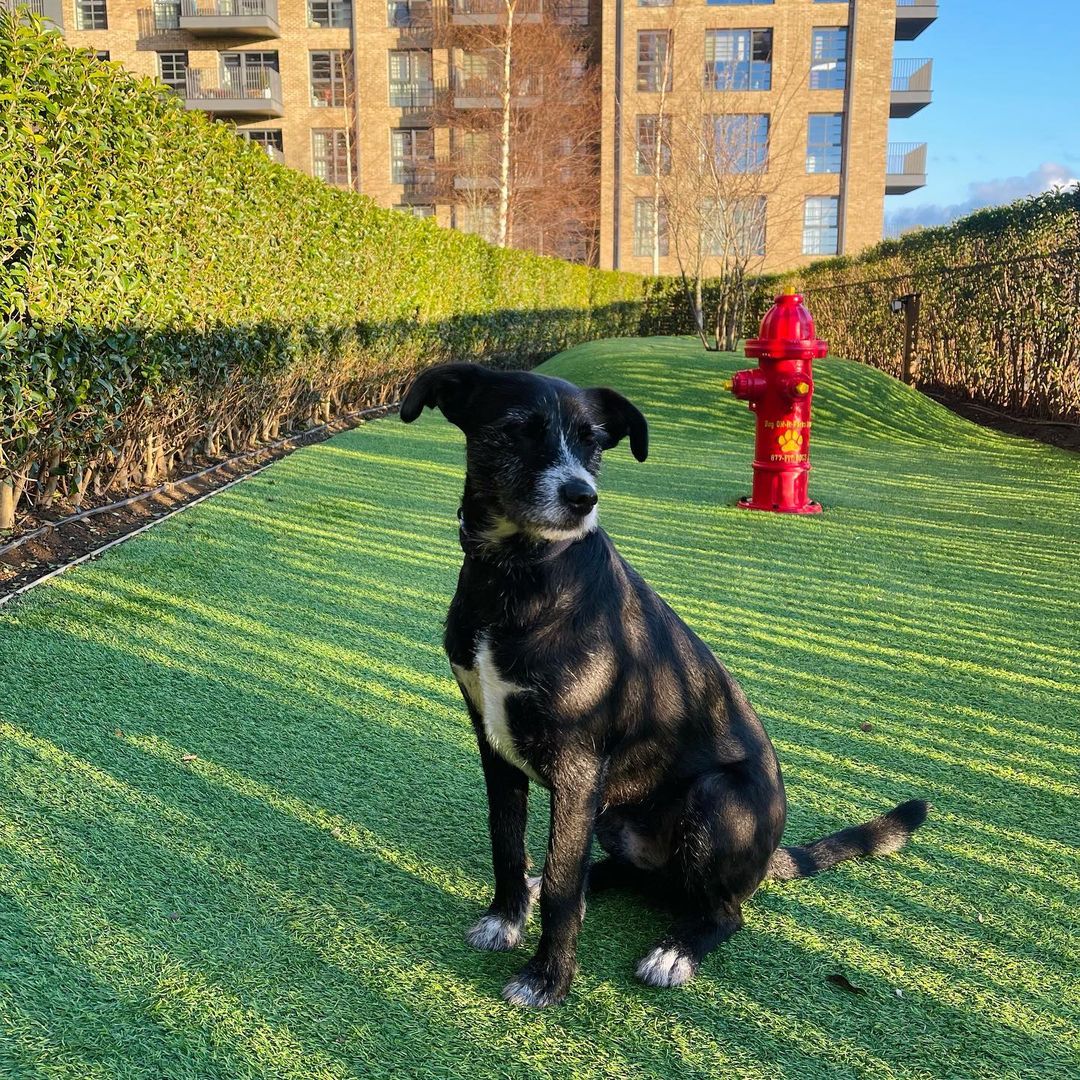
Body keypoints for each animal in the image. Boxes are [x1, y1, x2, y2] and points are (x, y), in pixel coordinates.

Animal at [401, 360, 924, 1002]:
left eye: (595, 442)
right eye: (517, 430)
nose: (583, 498)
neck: (518, 575)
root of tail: (769, 856)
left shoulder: (578, 765)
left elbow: (562, 887)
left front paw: (547, 978)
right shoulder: (495, 746)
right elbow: (509, 847)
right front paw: (506, 916)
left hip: (713, 799)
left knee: (724, 912)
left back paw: (675, 950)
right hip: (611, 813)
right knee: (621, 873)